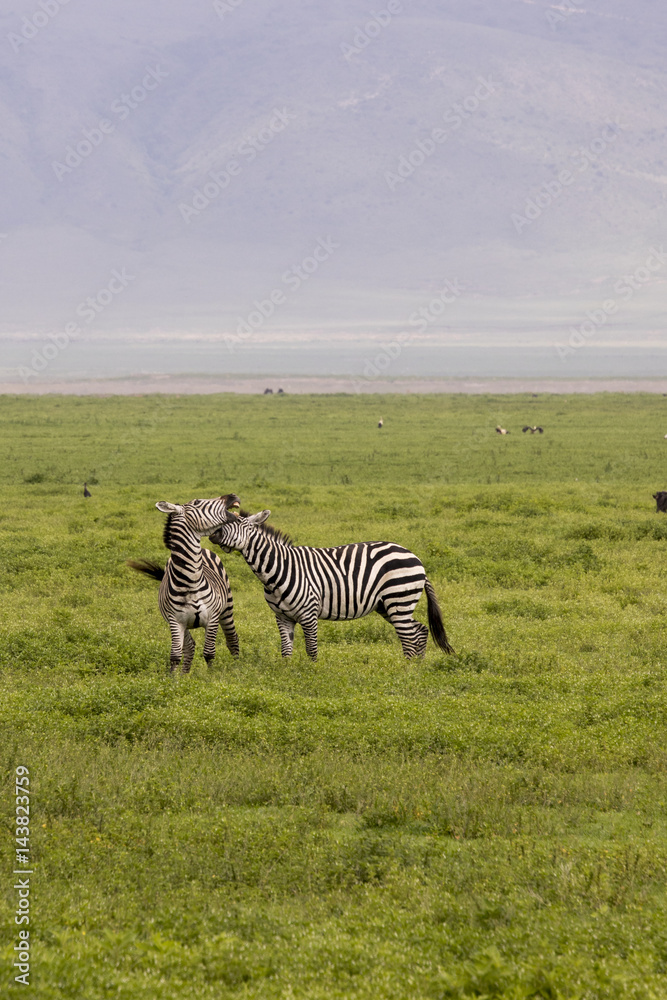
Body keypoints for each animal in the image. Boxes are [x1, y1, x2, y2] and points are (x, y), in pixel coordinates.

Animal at [128, 494, 241, 672]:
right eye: (197, 502)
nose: (233, 495)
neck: (191, 581)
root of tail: (204, 550)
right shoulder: (175, 621)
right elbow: (175, 655)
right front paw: (174, 679)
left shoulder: (212, 618)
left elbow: (209, 653)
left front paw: (212, 677)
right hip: (184, 624)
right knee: (190, 646)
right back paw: (185, 674)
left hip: (227, 608)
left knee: (232, 638)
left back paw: (237, 669)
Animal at [209, 509, 455, 661]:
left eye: (233, 523)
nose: (213, 533)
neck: (278, 569)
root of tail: (415, 557)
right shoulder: (282, 616)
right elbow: (286, 650)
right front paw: (287, 675)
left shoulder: (309, 613)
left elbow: (312, 650)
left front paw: (312, 676)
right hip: (387, 605)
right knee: (420, 630)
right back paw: (417, 668)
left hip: (398, 600)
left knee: (410, 636)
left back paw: (407, 672)